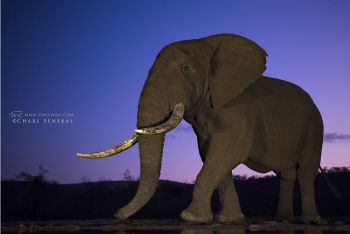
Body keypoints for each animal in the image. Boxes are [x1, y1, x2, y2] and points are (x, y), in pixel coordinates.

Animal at [78, 33, 324, 224]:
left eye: (185, 68)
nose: (118, 214)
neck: (206, 42)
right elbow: (211, 154)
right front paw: (228, 220)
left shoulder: (238, 107)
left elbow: (227, 151)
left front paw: (190, 218)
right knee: (287, 176)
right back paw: (282, 219)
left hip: (315, 128)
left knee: (306, 172)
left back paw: (309, 220)